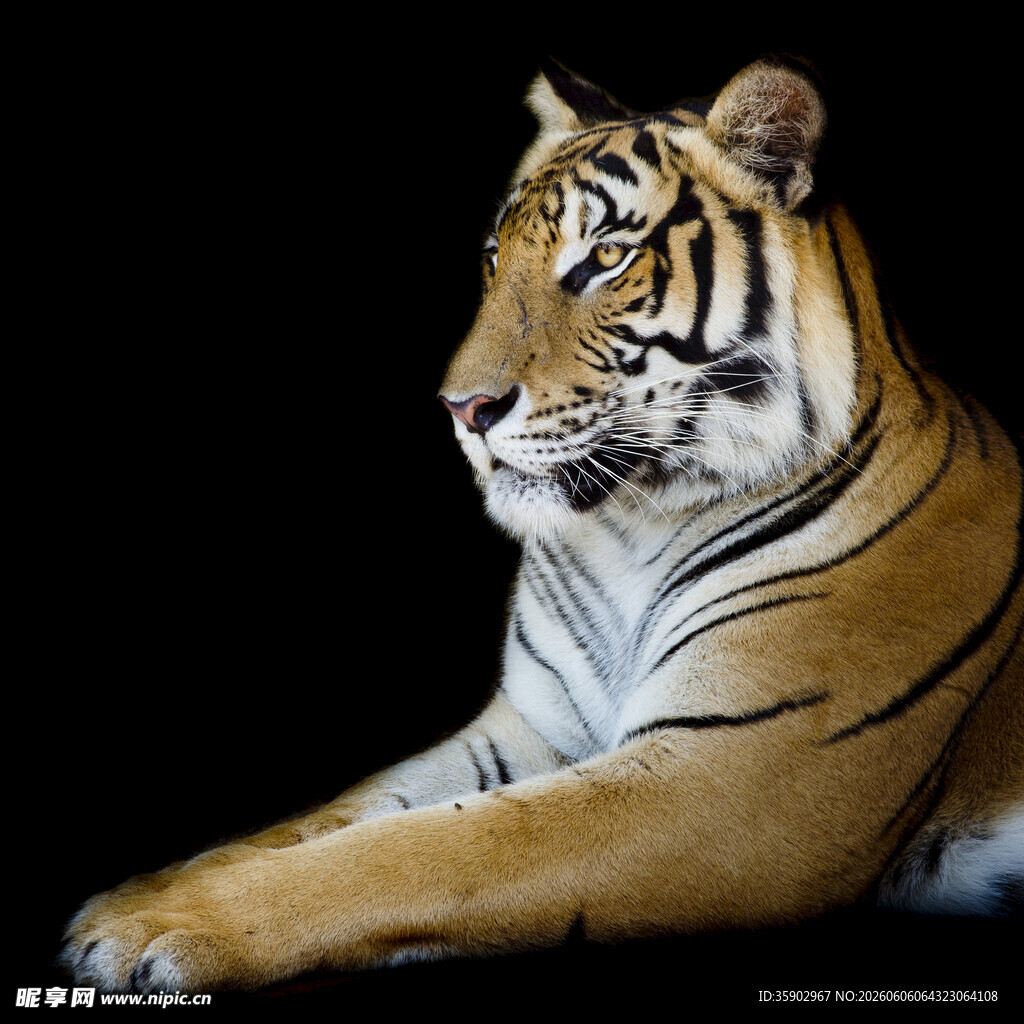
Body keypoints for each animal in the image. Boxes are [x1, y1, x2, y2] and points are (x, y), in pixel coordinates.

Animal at [62, 56, 1022, 993]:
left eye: (605, 258)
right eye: (494, 259)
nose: (462, 408)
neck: (633, 528)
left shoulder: (735, 773)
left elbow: (432, 846)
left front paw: (157, 926)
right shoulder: (532, 727)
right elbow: (335, 814)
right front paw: (141, 893)